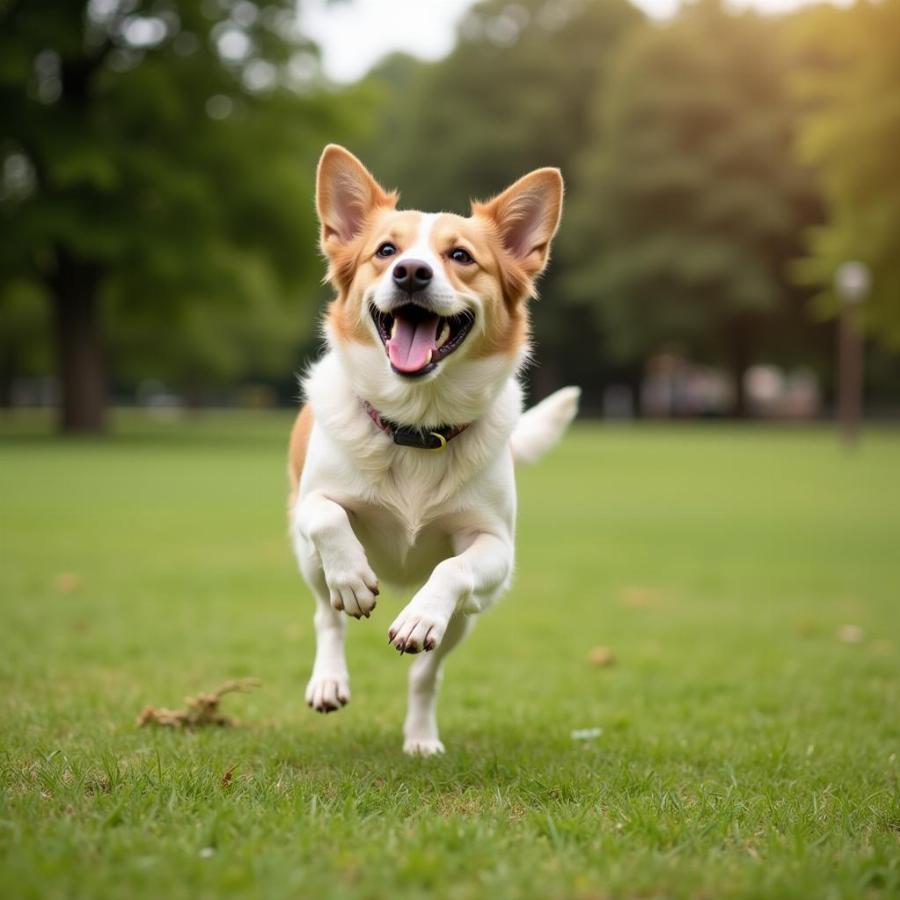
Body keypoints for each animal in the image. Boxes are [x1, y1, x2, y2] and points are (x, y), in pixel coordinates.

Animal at [292, 146, 580, 752]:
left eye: (460, 256)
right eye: (385, 251)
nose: (411, 272)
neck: (415, 425)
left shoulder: (495, 548)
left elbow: (451, 570)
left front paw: (418, 618)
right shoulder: (310, 505)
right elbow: (330, 517)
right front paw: (354, 580)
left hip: (470, 616)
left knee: (427, 672)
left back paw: (421, 734)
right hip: (305, 561)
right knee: (327, 617)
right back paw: (329, 677)